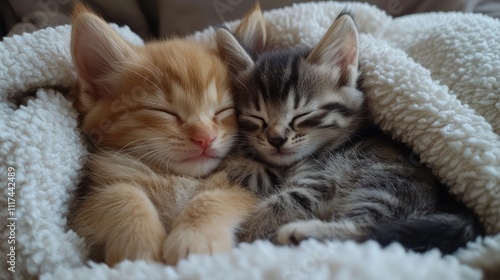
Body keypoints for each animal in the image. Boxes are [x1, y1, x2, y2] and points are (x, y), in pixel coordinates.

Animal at [69, 3, 266, 266]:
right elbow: (121, 193)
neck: (178, 178)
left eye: (225, 110)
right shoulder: (78, 217)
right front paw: (139, 243)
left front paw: (195, 238)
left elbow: (217, 197)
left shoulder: (252, 190)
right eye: (164, 111)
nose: (205, 137)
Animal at [217, 11, 482, 254]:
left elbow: (280, 199)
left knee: (371, 232)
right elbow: (263, 174)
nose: (276, 139)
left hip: (384, 186)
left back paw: (299, 233)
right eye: (256, 118)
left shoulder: (317, 182)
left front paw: (246, 228)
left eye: (302, 114)